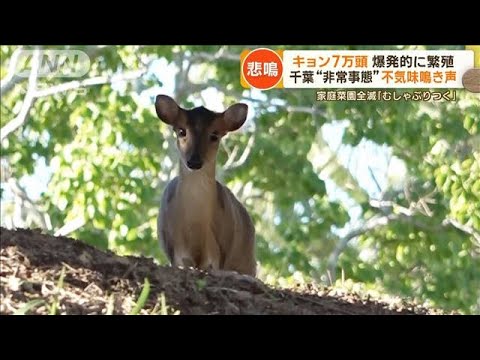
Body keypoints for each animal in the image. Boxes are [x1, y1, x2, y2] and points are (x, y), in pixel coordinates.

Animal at [156, 95, 256, 276]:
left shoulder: (219, 252)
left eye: (215, 135)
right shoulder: (174, 250)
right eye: (181, 131)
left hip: (247, 262)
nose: (194, 161)